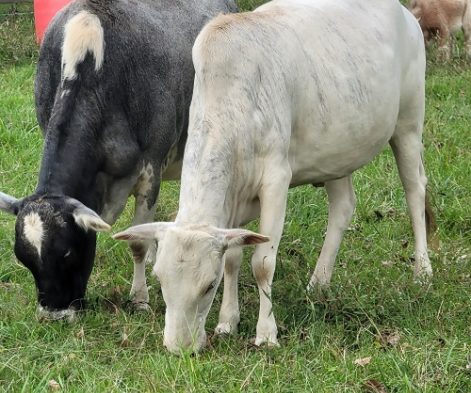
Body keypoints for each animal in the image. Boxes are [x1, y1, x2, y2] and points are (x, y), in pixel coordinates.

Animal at [0, 0, 238, 318]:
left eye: (67, 253)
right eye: (23, 258)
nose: (54, 315)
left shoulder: (151, 170)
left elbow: (136, 243)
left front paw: (139, 299)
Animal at [114, 0, 436, 354]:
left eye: (209, 285)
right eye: (160, 278)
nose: (179, 347)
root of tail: (405, 14)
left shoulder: (276, 180)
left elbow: (262, 263)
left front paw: (266, 333)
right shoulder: (233, 199)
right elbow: (234, 257)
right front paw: (227, 323)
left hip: (409, 122)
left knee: (415, 191)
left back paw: (422, 270)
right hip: (338, 151)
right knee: (343, 206)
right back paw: (319, 282)